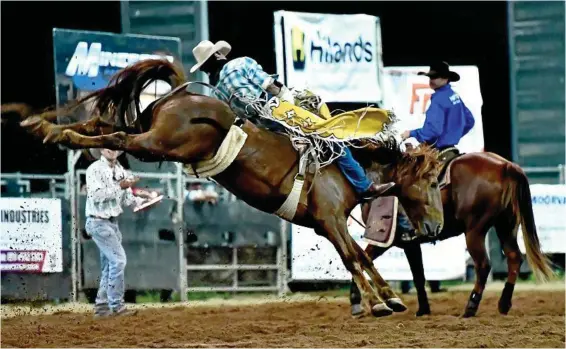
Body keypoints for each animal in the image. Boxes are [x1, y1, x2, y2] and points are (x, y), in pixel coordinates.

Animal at [21, 57, 448, 318]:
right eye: (430, 181)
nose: (435, 228)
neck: (344, 165)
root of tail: (184, 94)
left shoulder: (329, 225)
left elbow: (361, 255)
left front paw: (391, 297)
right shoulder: (331, 221)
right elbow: (353, 258)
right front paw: (379, 304)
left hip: (148, 130)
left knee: (106, 126)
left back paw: (47, 127)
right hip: (157, 142)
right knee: (115, 138)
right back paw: (54, 132)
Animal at [348, 151, 556, 316]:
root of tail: (506, 165)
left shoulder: (391, 240)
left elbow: (363, 260)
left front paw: (357, 301)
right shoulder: (406, 243)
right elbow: (416, 274)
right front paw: (423, 309)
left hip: (475, 231)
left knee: (483, 265)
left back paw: (471, 307)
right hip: (506, 225)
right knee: (514, 258)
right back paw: (504, 304)